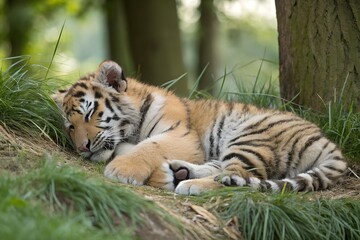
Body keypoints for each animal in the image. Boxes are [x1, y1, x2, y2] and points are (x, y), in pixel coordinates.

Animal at [52, 60, 348, 195]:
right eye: (70, 127)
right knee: (225, 170)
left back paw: (189, 184)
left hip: (251, 137)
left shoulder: (182, 134)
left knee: (237, 176)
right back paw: (180, 173)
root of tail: (327, 141)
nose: (82, 148)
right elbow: (129, 147)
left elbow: (150, 146)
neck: (130, 129)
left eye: (90, 113)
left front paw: (122, 170)